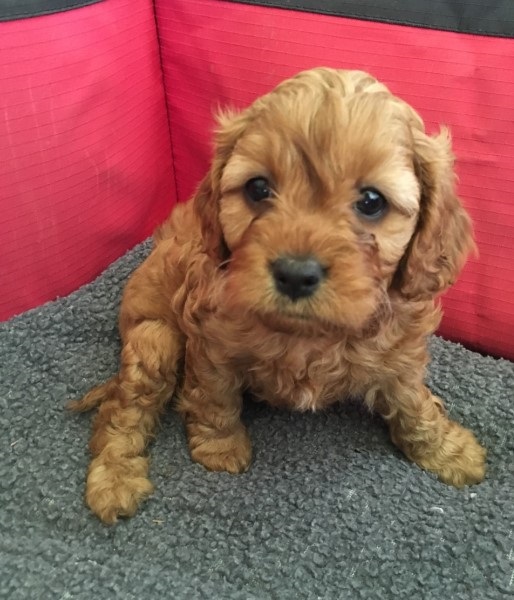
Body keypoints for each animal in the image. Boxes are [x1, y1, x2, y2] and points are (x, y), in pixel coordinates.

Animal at [71, 68, 484, 524]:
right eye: (258, 188)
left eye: (372, 201)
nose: (295, 274)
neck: (310, 336)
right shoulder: (210, 343)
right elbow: (214, 397)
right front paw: (220, 448)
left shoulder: (400, 351)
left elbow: (412, 402)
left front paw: (448, 450)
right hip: (154, 340)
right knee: (122, 412)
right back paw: (115, 481)